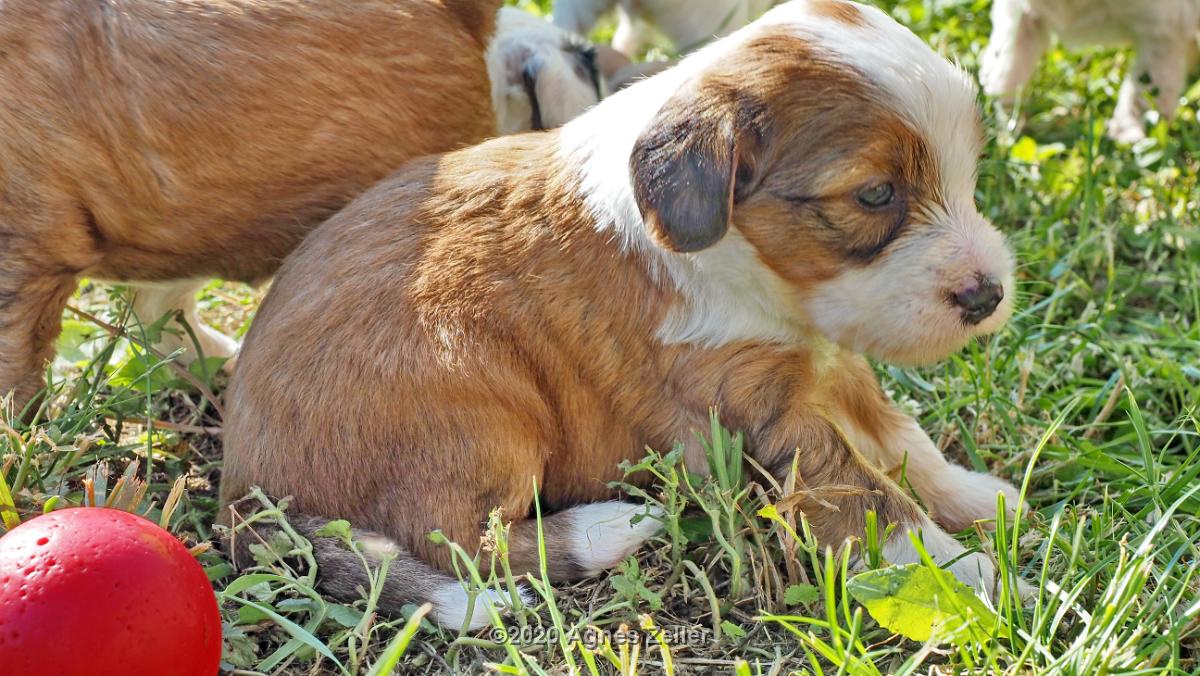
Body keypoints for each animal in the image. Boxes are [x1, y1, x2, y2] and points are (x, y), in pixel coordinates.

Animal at [223, 0, 1022, 633]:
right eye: (876, 195)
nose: (988, 296)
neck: (750, 268)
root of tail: (238, 489)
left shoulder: (825, 357)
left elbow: (901, 438)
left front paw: (977, 498)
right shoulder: (757, 403)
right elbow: (861, 488)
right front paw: (954, 573)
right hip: (475, 405)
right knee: (467, 544)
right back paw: (609, 526)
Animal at [984, 0, 1200, 142]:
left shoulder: (1164, 28)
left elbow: (1148, 86)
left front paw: (1129, 130)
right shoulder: (1020, 13)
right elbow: (1006, 63)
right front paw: (999, 116)